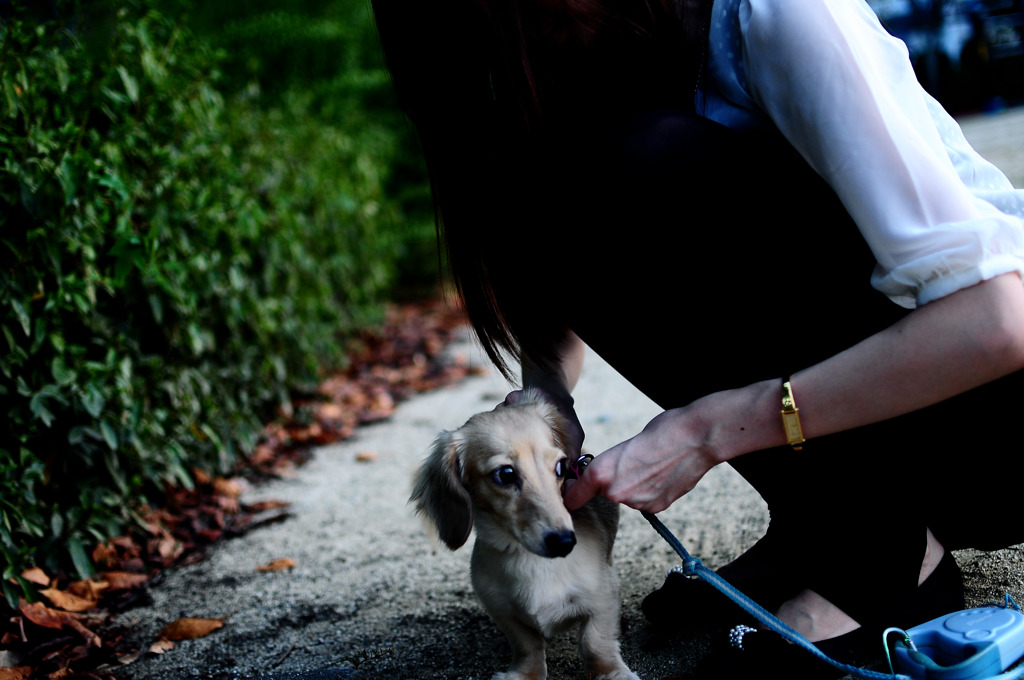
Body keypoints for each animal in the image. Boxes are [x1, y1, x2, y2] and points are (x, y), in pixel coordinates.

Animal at [409, 387, 634, 680]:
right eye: (505, 474)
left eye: (561, 467)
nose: (564, 542)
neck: (530, 561)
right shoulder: (502, 611)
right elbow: (527, 644)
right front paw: (526, 674)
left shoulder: (602, 598)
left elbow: (595, 641)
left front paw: (610, 672)